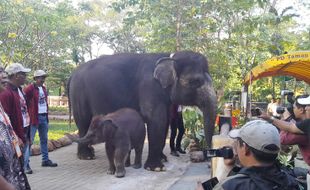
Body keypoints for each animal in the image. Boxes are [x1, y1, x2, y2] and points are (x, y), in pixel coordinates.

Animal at [68, 50, 217, 171]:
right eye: (194, 82)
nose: (209, 162)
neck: (169, 57)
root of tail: (72, 73)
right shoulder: (149, 88)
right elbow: (157, 120)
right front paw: (156, 168)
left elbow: (165, 122)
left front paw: (162, 159)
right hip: (78, 94)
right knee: (83, 122)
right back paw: (86, 156)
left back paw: (90, 152)